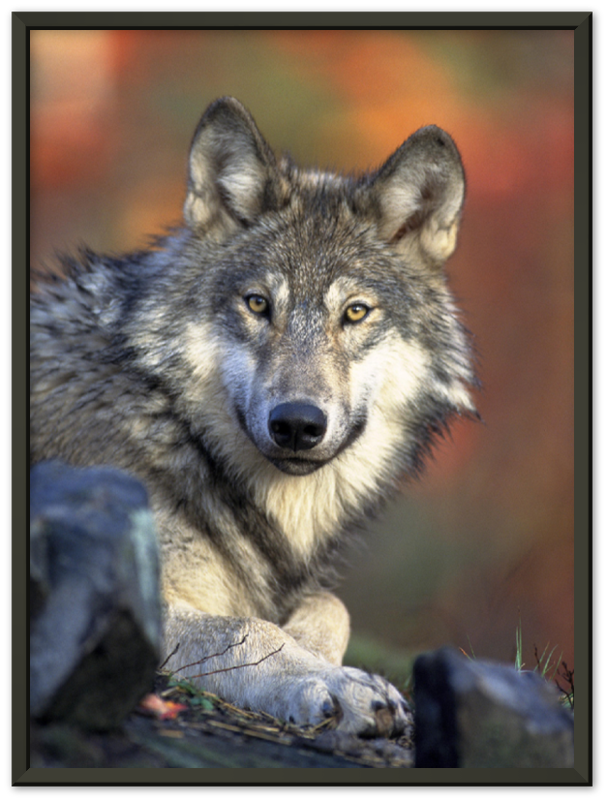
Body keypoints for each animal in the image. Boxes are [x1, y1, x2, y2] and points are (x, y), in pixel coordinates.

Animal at [30, 96, 477, 737]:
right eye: (259, 304)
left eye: (355, 312)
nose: (297, 424)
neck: (174, 429)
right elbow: (248, 628)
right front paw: (335, 683)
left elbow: (331, 605)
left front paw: (324, 661)